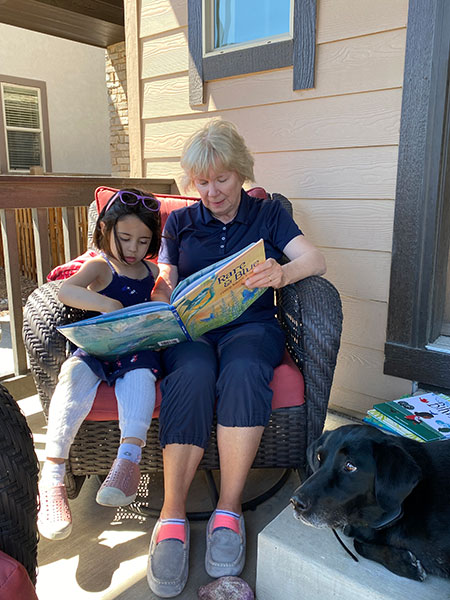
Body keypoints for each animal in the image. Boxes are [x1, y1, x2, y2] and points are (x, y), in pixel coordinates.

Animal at [290, 424, 450, 580]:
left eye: (350, 466)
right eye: (319, 456)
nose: (295, 503)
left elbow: (358, 544)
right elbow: (358, 544)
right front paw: (405, 563)